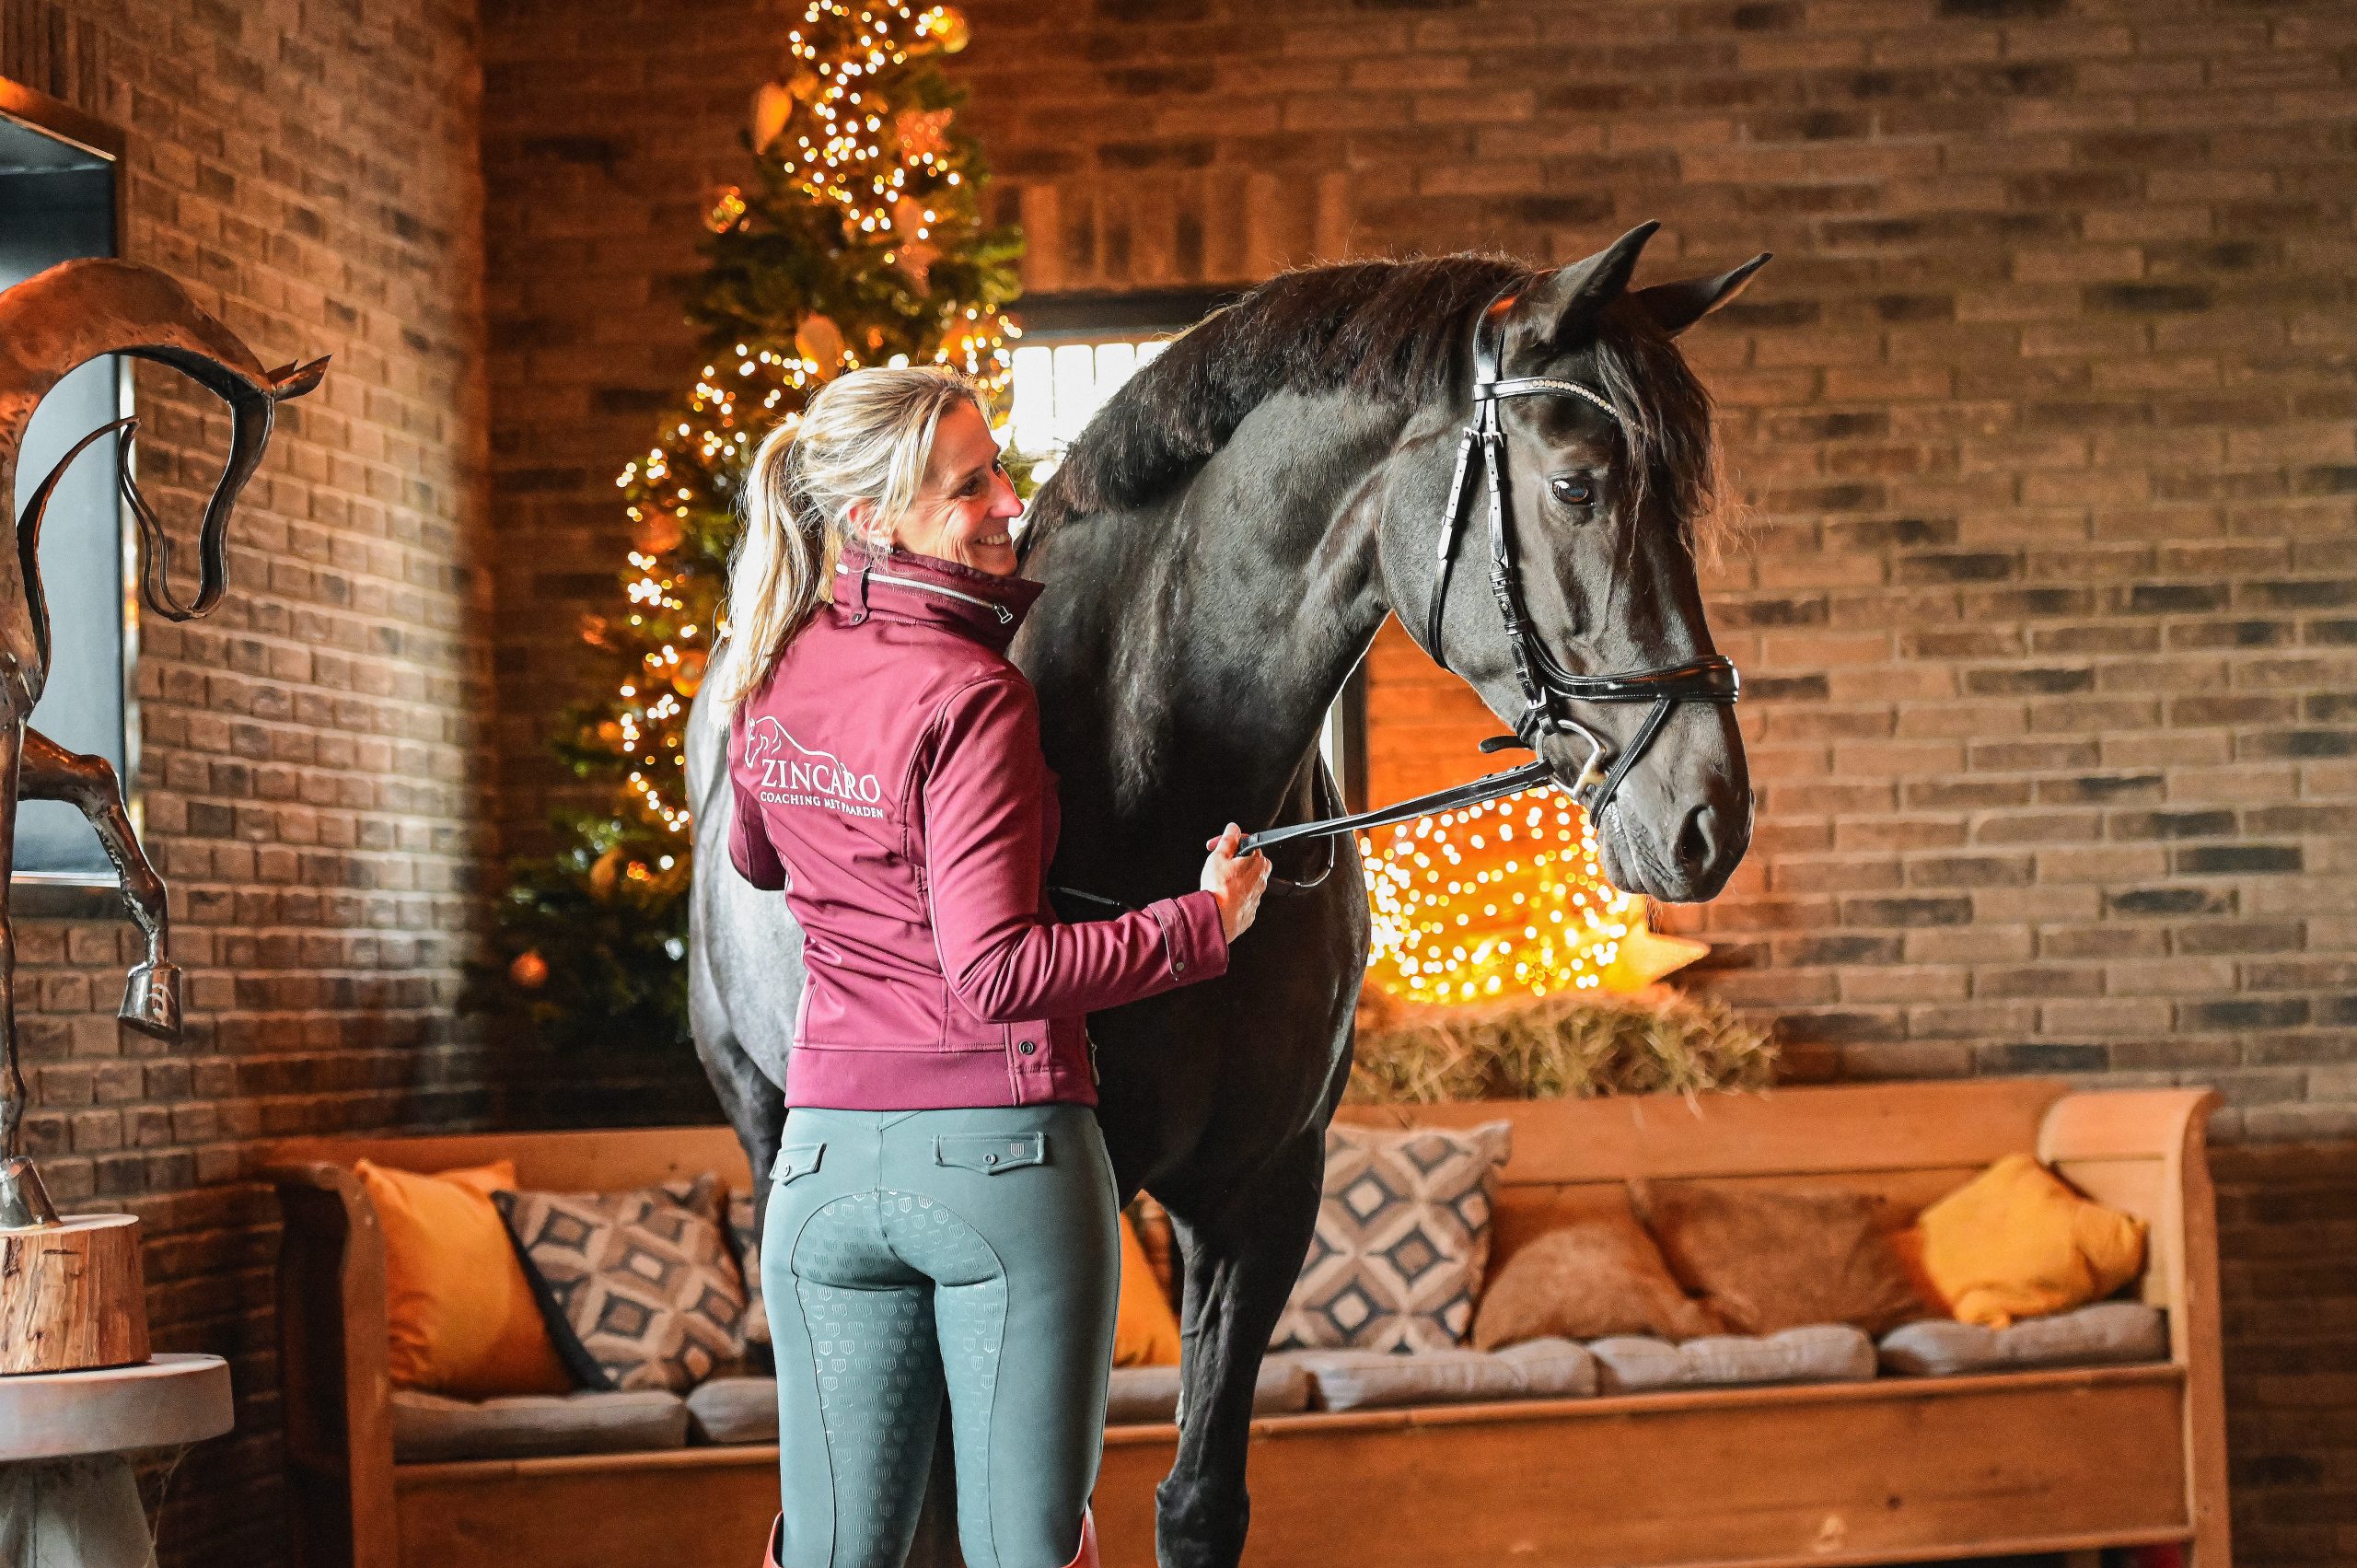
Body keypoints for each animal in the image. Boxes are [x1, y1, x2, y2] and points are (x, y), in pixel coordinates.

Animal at [685, 220, 1763, 1567]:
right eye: (1577, 484)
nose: (1708, 815)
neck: (1144, 780)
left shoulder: (1260, 1197)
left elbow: (1200, 1500)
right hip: (764, 1118)